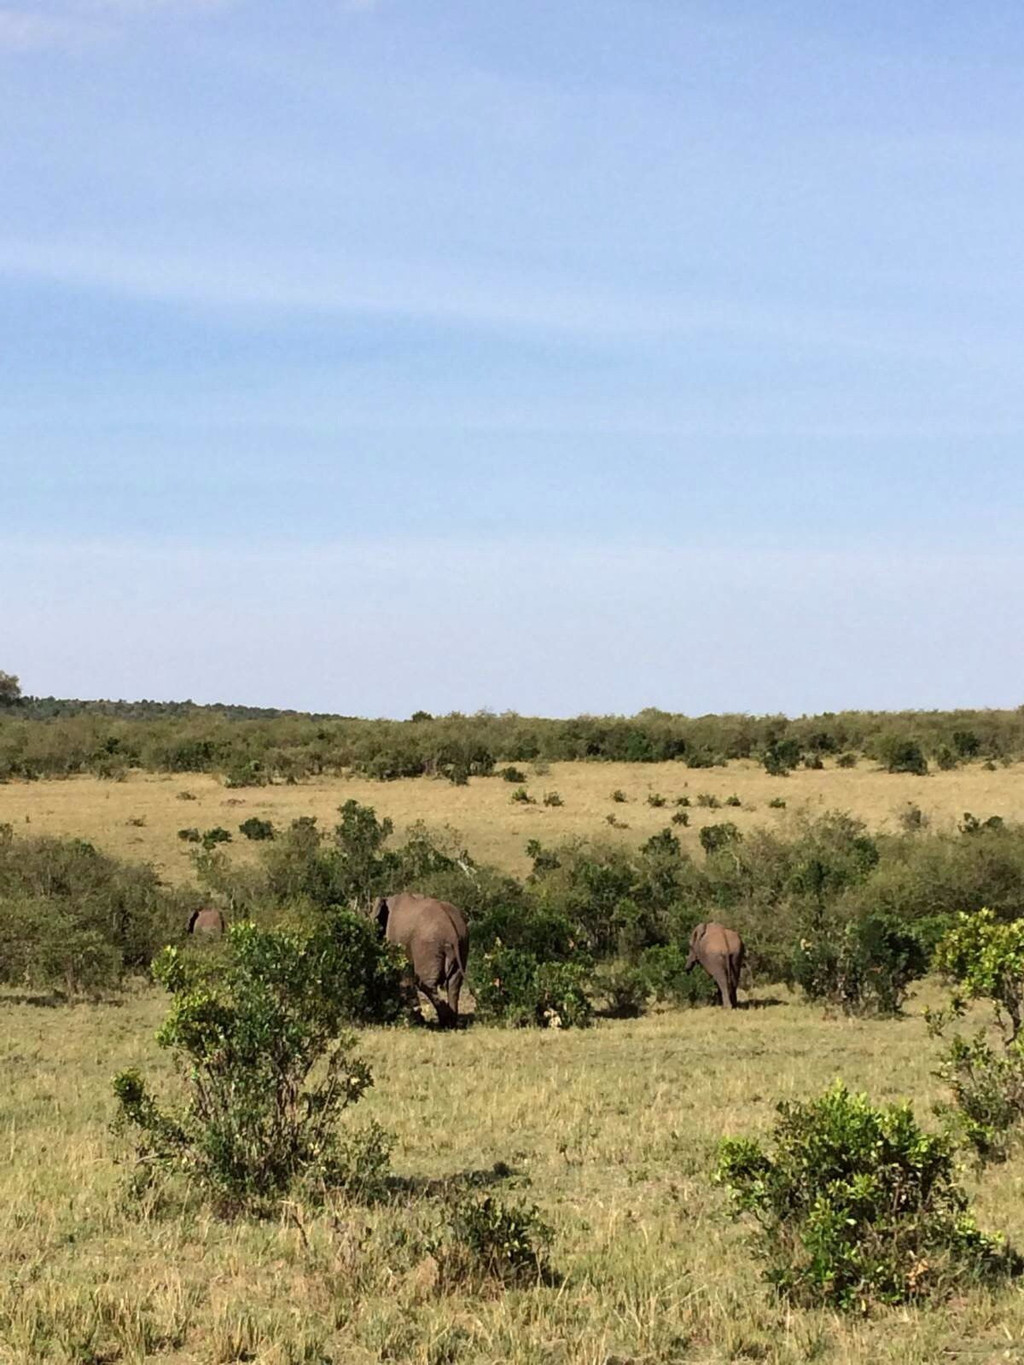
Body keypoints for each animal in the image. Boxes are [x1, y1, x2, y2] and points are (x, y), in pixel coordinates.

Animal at [374, 889, 469, 1026]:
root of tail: (452, 931)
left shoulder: (395, 939)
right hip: (462, 942)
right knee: (454, 983)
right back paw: (450, 1022)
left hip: (427, 945)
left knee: (425, 983)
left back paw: (444, 1021)